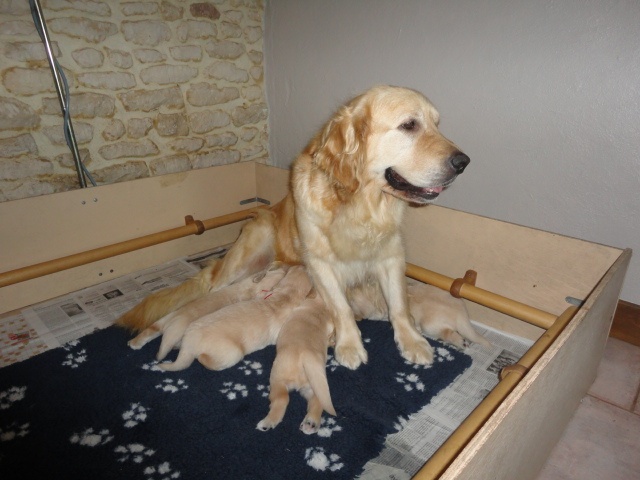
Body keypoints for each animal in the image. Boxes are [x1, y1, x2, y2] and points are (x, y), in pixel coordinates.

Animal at [127, 262, 288, 360]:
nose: (287, 267)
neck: (254, 285)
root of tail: (172, 320)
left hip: (162, 321)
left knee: (149, 331)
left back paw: (133, 343)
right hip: (176, 330)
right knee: (164, 346)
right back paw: (160, 355)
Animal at [256, 292, 336, 436]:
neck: (319, 308)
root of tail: (307, 356)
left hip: (277, 378)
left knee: (282, 399)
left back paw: (267, 423)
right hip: (314, 385)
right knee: (318, 401)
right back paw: (311, 423)